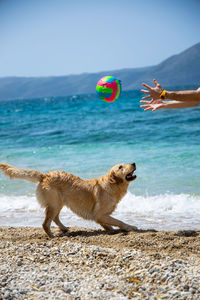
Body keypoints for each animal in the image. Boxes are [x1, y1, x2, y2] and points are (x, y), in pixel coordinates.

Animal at [0, 163, 138, 238]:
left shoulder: (100, 216)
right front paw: (130, 227)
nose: (133, 163)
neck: (112, 184)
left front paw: (111, 229)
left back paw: (64, 229)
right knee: (45, 223)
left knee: (55, 218)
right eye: (120, 167)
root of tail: (45, 175)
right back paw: (52, 235)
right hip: (54, 204)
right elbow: (119, 221)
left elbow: (108, 224)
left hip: (59, 203)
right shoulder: (100, 214)